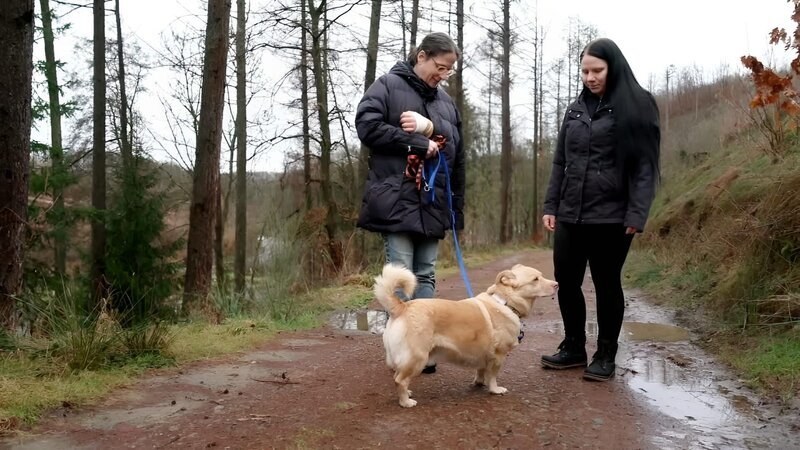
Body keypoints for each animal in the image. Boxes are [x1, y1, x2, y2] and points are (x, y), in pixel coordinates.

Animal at [374, 264, 556, 408]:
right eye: (535, 279)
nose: (557, 284)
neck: (505, 302)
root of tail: (403, 307)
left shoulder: (484, 353)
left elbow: (481, 370)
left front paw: (479, 383)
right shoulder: (499, 355)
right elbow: (493, 376)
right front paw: (495, 389)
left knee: (398, 376)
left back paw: (408, 393)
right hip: (417, 358)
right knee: (399, 380)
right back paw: (405, 402)